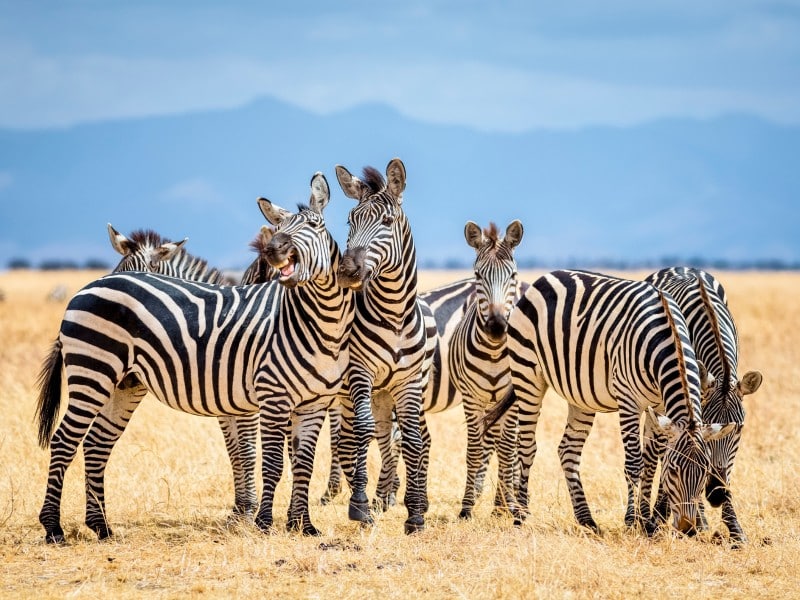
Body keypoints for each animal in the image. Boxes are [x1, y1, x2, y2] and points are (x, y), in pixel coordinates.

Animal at [35, 172, 353, 542]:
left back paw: (101, 526)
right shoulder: (267, 397)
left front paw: (301, 525)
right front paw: (259, 520)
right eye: (279, 228)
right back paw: (54, 527)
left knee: (96, 444)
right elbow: (263, 458)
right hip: (93, 372)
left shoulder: (310, 402)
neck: (320, 321)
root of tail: (85, 289)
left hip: (124, 384)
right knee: (64, 441)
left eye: (315, 225)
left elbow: (299, 461)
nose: (274, 250)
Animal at [334, 158, 431, 534]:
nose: (347, 271)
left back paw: (389, 496)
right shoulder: (359, 373)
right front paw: (359, 505)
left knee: (389, 437)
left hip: (384, 394)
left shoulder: (408, 382)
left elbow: (413, 439)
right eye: (350, 221)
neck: (395, 315)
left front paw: (415, 513)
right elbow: (361, 434)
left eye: (387, 223)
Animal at [483, 269, 738, 535]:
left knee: (568, 450)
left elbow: (650, 462)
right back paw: (521, 516)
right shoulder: (628, 401)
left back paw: (586, 520)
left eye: (704, 472)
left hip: (580, 396)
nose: (688, 529)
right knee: (526, 446)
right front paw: (632, 521)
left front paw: (647, 523)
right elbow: (635, 463)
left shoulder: (658, 406)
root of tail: (545, 277)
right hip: (528, 375)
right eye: (673, 471)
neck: (667, 340)